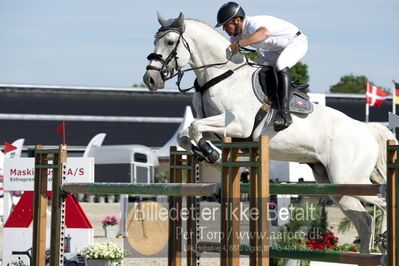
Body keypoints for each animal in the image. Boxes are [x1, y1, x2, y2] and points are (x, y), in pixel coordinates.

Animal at [143, 12, 394, 254]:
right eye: (154, 40)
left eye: (170, 42)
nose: (150, 79)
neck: (220, 75)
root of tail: (366, 129)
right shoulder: (219, 128)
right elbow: (186, 134)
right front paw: (209, 153)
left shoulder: (238, 124)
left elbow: (195, 128)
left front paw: (210, 153)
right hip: (334, 185)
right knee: (364, 222)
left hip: (348, 178)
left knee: (382, 201)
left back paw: (384, 240)